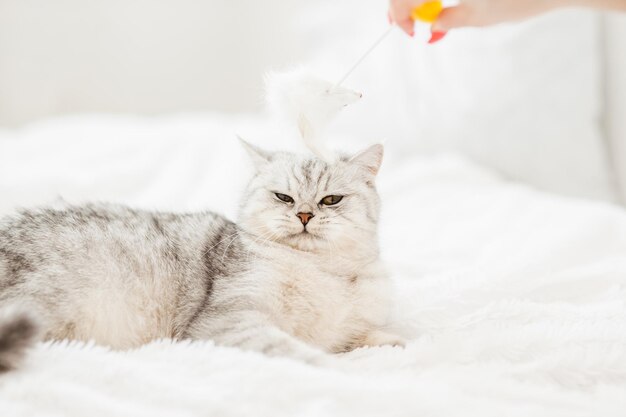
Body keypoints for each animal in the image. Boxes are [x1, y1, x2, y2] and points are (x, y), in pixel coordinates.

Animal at [0, 141, 400, 370]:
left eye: (331, 199)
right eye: (283, 197)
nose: (304, 215)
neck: (323, 270)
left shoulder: (349, 327)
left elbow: (368, 335)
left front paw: (395, 342)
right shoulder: (227, 321)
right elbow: (297, 350)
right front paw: (347, 370)